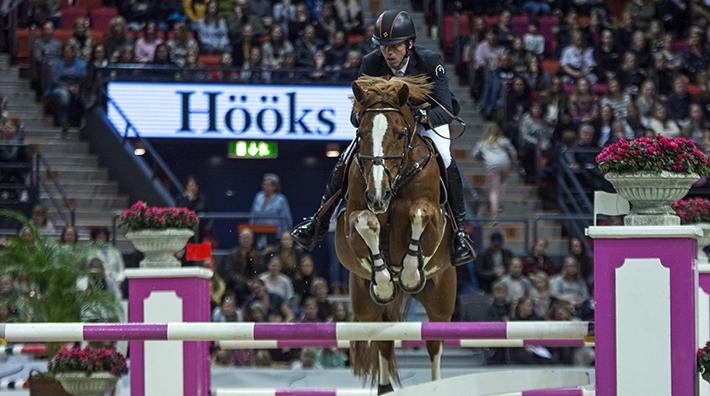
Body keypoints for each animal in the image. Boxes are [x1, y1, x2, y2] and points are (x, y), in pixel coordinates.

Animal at [336, 74, 458, 392]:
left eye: (401, 134)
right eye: (361, 133)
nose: (378, 195)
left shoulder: (434, 218)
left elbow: (419, 213)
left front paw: (411, 273)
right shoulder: (353, 220)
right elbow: (368, 223)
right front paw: (384, 279)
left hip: (441, 298)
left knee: (434, 343)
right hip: (365, 304)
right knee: (383, 340)